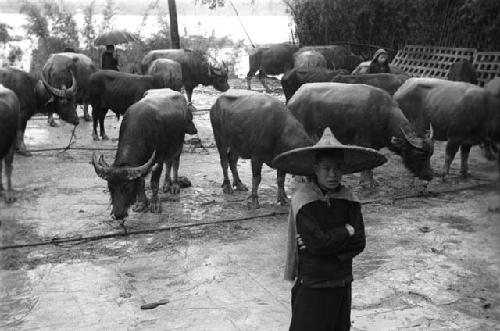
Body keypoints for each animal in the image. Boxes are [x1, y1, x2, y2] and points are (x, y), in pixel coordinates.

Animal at [93, 89, 198, 222]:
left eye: (127, 187)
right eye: (110, 187)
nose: (118, 214)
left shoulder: (157, 160)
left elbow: (154, 183)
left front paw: (155, 204)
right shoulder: (141, 164)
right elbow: (140, 182)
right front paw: (141, 204)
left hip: (178, 145)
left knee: (174, 163)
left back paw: (174, 186)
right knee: (168, 164)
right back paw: (166, 185)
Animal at [288, 82, 436, 189]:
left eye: (430, 154)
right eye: (420, 155)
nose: (430, 175)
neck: (383, 115)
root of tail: (294, 99)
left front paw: (371, 182)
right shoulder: (365, 143)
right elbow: (368, 166)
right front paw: (366, 184)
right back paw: (300, 177)